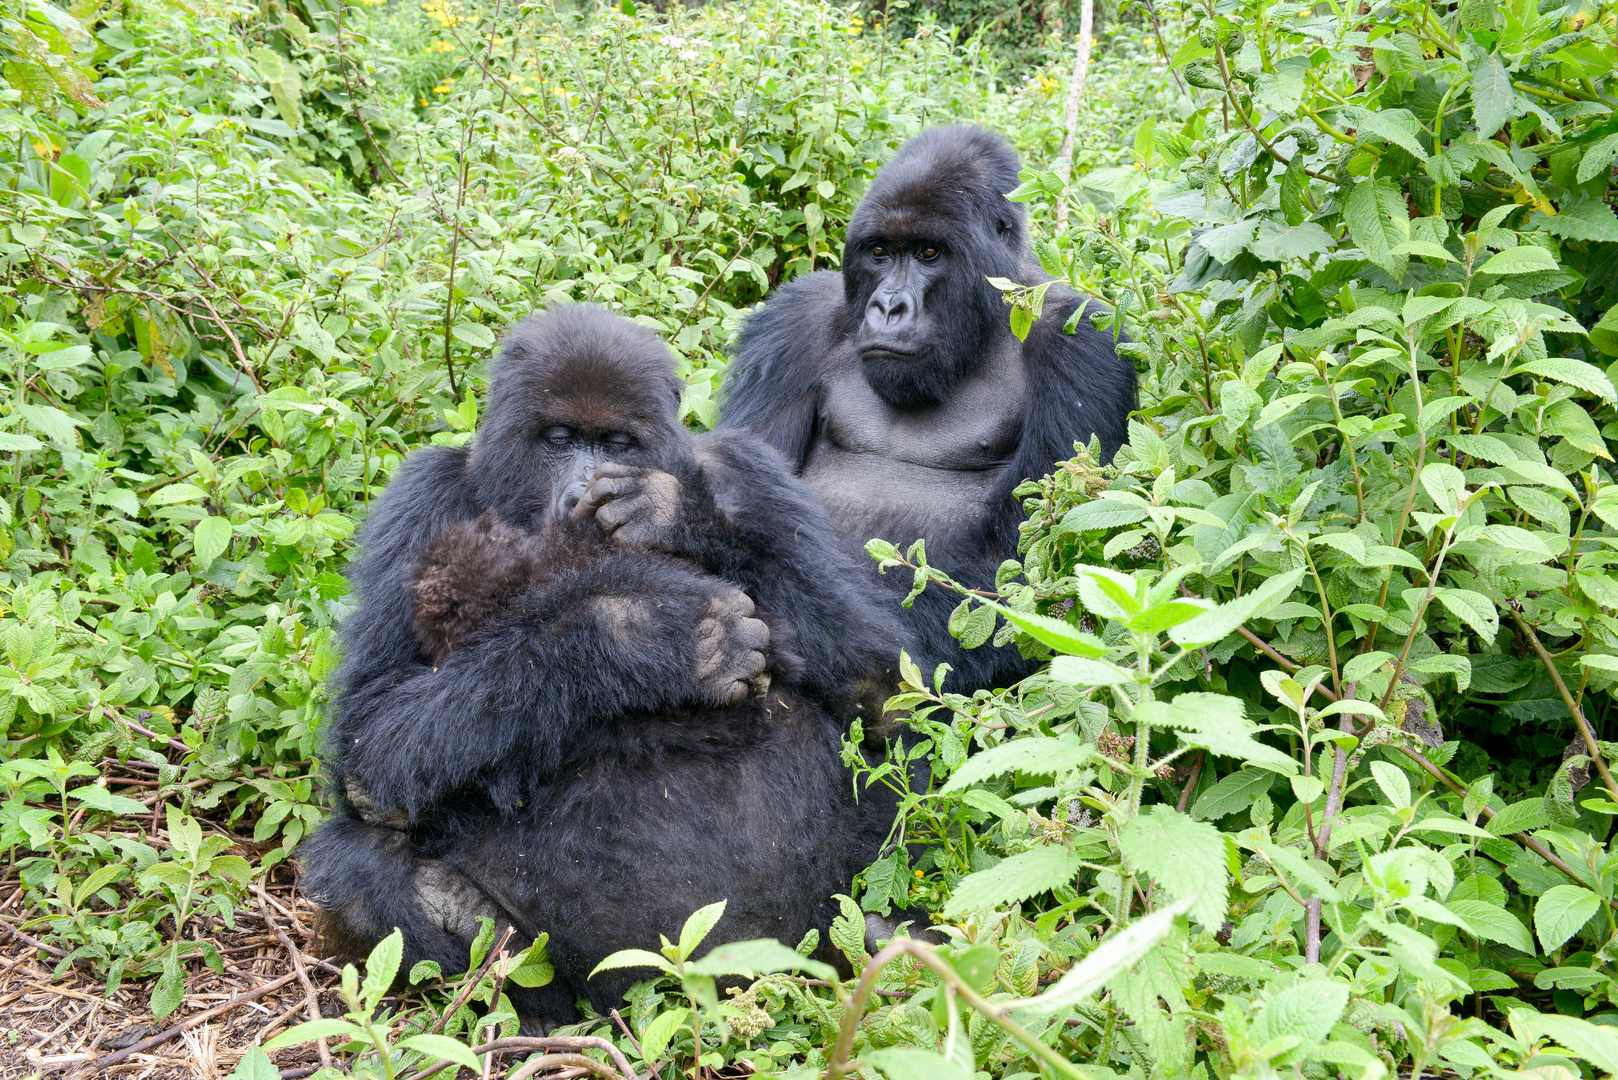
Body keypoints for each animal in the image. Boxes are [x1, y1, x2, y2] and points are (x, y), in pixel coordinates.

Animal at [297, 302, 906, 1023]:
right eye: (559, 440)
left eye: (617, 444)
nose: (583, 489)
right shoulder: (420, 494)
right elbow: (372, 740)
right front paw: (645, 635)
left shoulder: (751, 467)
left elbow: (879, 682)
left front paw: (670, 513)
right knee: (356, 869)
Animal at [721, 124, 1139, 693]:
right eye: (880, 251)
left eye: (928, 253)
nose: (888, 306)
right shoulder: (794, 321)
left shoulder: (1085, 340)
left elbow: (1012, 577)